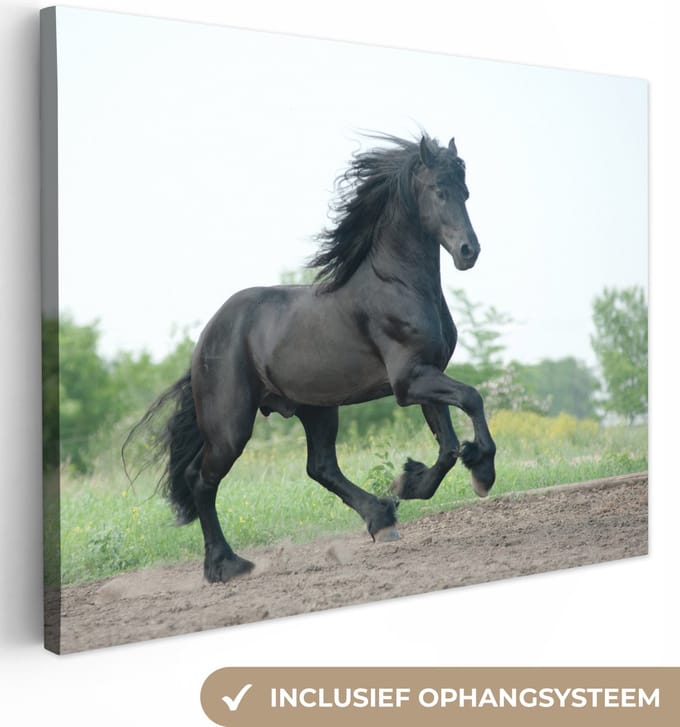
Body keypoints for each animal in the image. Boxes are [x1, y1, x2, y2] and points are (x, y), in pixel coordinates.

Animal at [124, 133, 496, 583]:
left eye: (465, 191)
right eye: (439, 191)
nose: (468, 251)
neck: (396, 284)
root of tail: (205, 338)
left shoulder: (426, 376)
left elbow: (447, 445)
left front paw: (408, 484)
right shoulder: (410, 381)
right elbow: (472, 399)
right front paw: (482, 473)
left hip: (316, 408)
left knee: (320, 467)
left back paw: (381, 518)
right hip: (231, 426)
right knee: (201, 478)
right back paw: (226, 565)